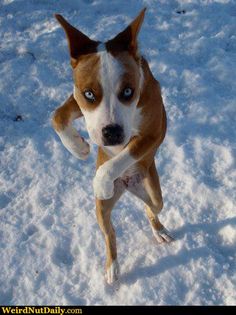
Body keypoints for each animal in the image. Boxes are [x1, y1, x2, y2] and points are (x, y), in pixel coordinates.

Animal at [52, 8, 173, 286]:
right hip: (101, 210)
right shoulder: (76, 98)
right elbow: (58, 115)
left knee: (151, 209)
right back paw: (112, 267)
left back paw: (158, 229)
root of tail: (127, 186)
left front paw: (101, 181)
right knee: (110, 234)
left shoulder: (151, 134)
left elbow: (121, 157)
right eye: (89, 94)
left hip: (154, 193)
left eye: (128, 91)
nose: (112, 133)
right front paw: (78, 147)